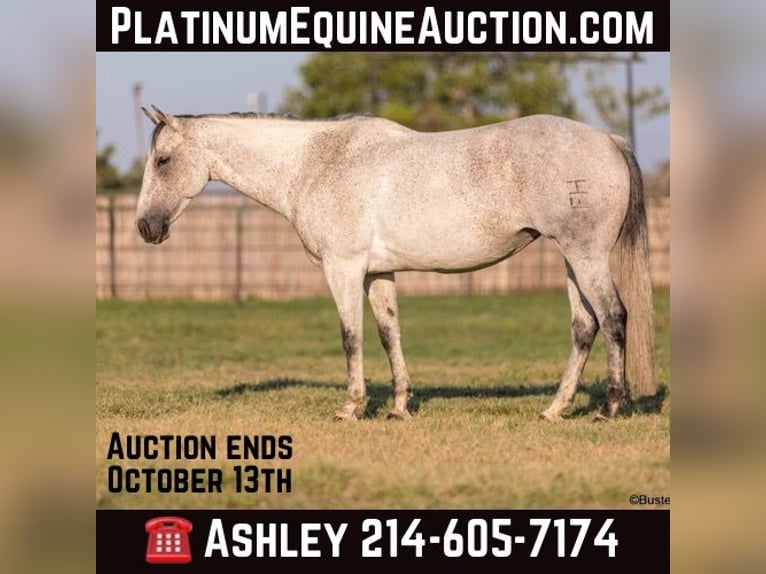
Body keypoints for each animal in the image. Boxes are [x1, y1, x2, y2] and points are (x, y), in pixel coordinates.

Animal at [136, 105, 656, 422]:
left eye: (163, 160)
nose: (145, 227)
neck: (314, 163)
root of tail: (607, 138)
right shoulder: (378, 273)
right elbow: (390, 335)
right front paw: (399, 406)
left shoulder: (342, 269)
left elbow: (351, 337)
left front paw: (351, 407)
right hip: (571, 260)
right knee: (584, 326)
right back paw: (554, 409)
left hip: (585, 256)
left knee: (614, 318)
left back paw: (609, 408)